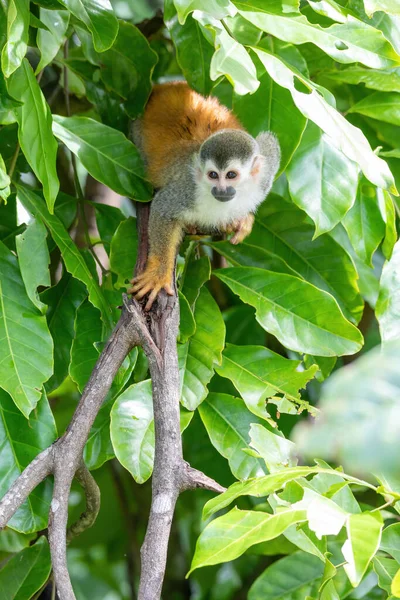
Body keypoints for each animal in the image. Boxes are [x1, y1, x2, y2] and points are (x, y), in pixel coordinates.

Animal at [130, 80, 280, 310]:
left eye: (231, 175)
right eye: (213, 175)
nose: (221, 189)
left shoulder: (265, 176)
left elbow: (269, 143)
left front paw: (242, 221)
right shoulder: (188, 189)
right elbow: (163, 209)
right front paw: (158, 274)